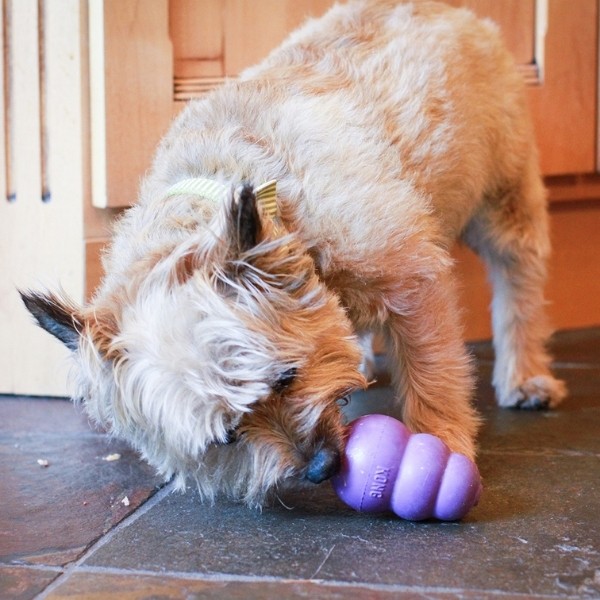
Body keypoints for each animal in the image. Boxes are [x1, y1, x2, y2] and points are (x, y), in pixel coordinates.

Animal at [23, 1, 564, 506]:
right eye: (227, 435)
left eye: (287, 377)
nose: (322, 467)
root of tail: (446, 9)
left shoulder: (413, 282)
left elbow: (432, 372)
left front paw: (442, 441)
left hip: (504, 201)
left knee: (519, 282)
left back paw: (525, 376)